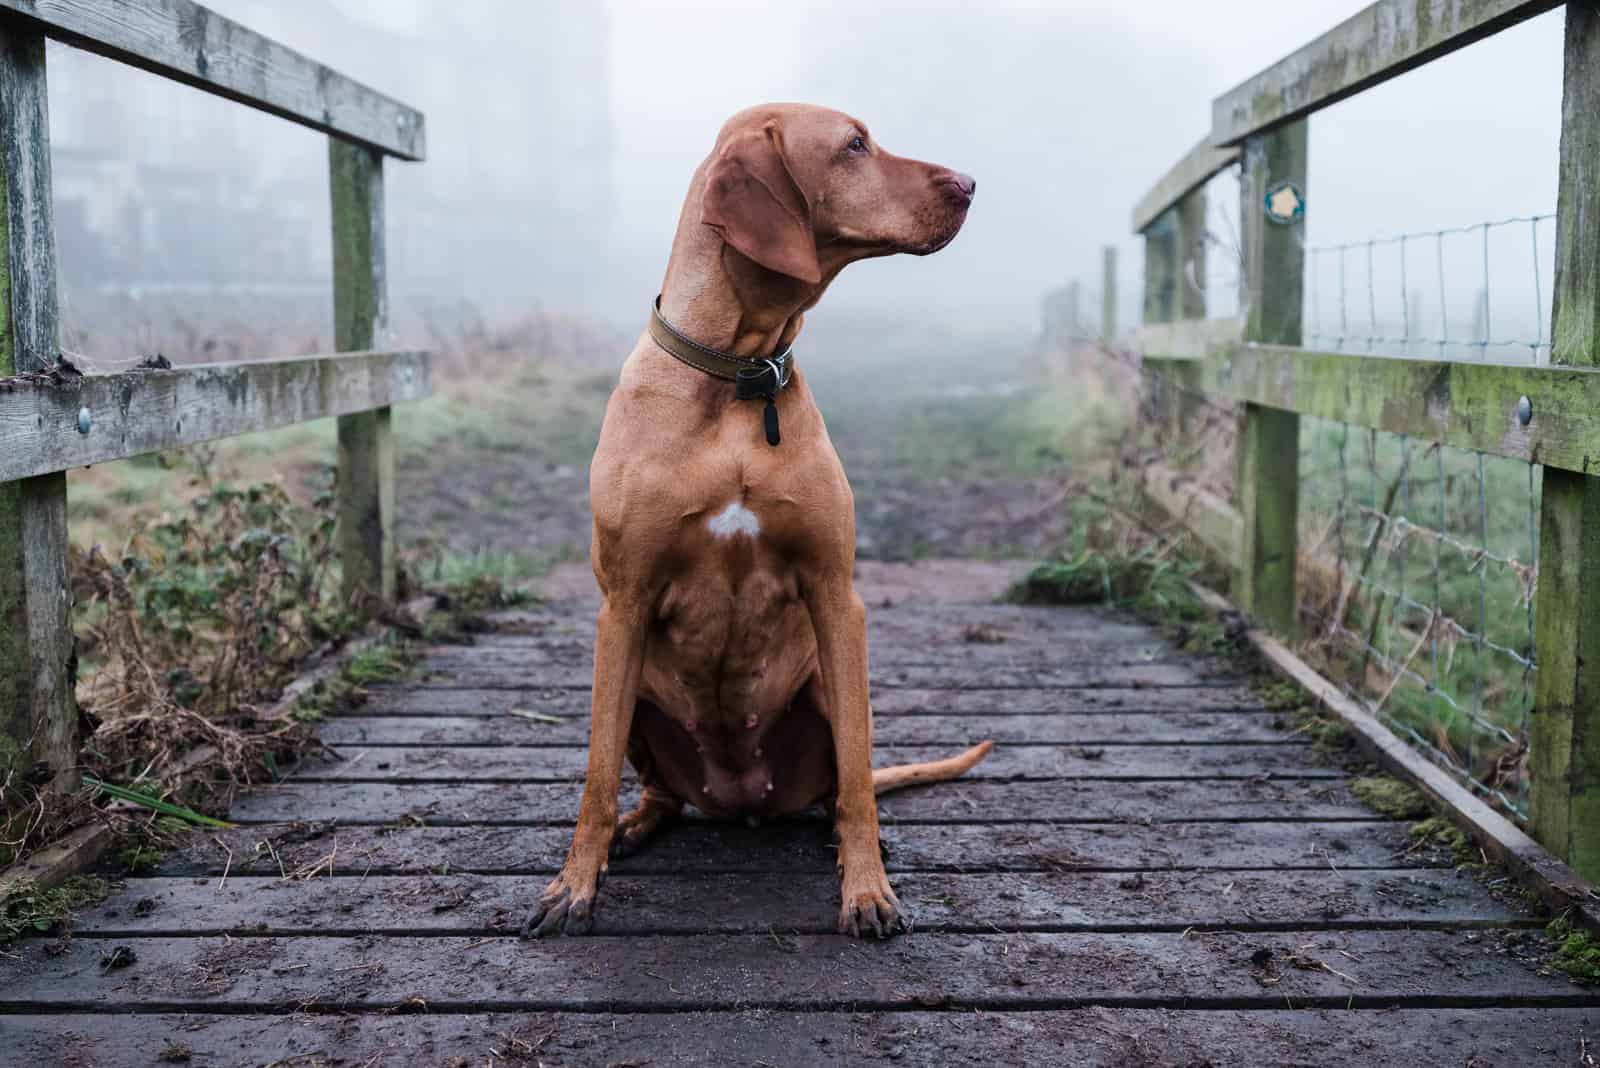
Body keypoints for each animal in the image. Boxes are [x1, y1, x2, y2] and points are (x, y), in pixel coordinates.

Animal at [528, 103, 985, 940]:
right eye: (853, 146)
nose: (969, 183)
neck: (739, 378)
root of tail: (739, 798)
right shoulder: (624, 605)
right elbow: (594, 777)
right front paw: (573, 886)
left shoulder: (838, 595)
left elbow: (859, 779)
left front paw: (866, 890)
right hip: (637, 694)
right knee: (654, 790)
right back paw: (635, 827)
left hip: (824, 695)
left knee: (841, 786)